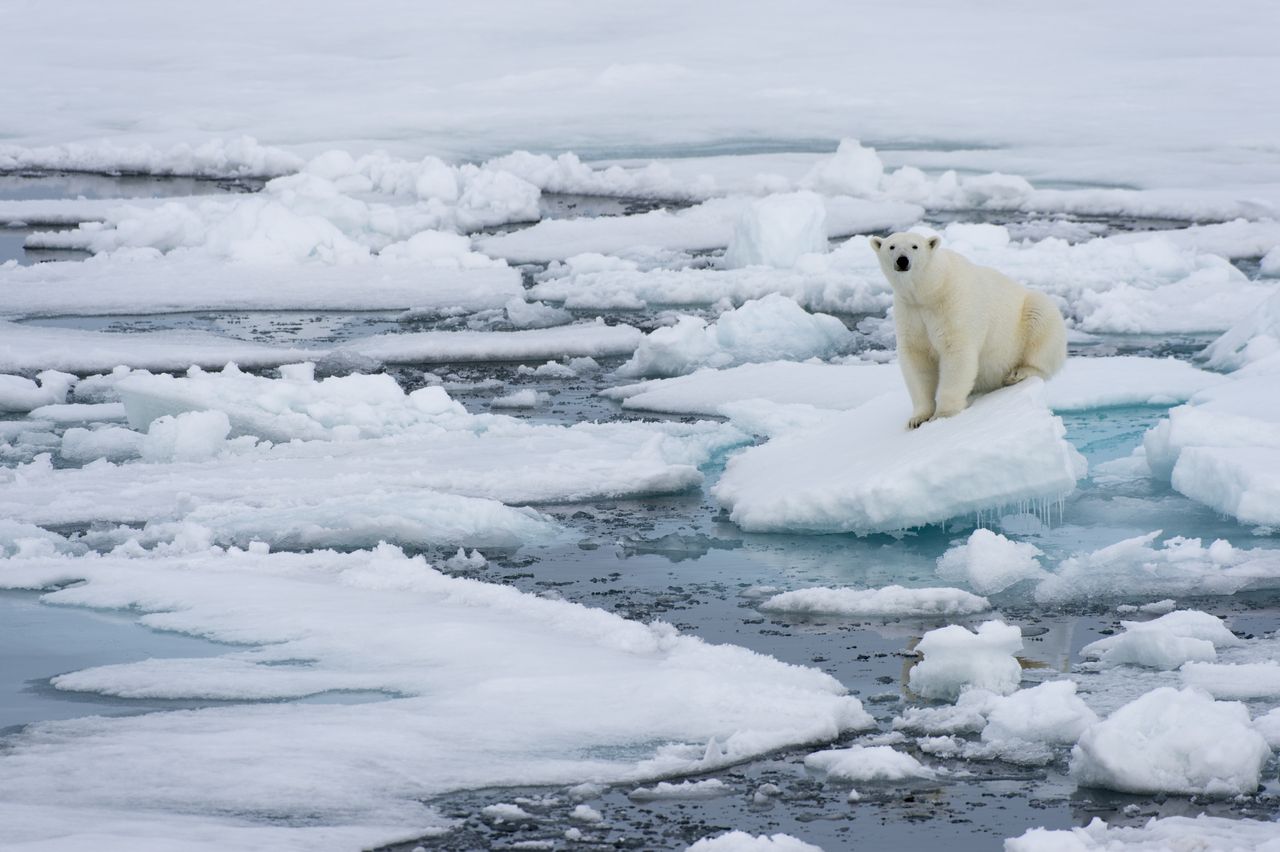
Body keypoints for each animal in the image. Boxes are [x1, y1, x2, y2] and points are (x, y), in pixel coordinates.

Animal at [870, 232, 1070, 427]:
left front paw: (943, 414)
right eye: (892, 246)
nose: (902, 260)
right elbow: (917, 359)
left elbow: (956, 352)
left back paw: (1017, 373)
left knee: (1041, 328)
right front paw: (917, 419)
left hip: (1029, 316)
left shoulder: (951, 304)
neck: (929, 290)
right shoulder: (910, 312)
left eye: (914, 246)